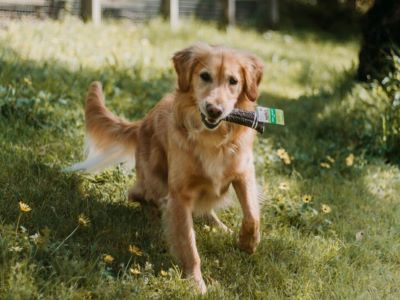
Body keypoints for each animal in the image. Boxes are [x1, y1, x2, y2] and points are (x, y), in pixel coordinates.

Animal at [68, 42, 262, 292]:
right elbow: (189, 245)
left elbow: (252, 216)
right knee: (138, 195)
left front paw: (248, 243)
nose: (214, 110)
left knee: (206, 210)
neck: (211, 139)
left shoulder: (243, 173)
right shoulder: (179, 194)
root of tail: (141, 122)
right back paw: (153, 218)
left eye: (233, 81)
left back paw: (222, 228)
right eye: (205, 76)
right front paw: (196, 283)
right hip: (154, 181)